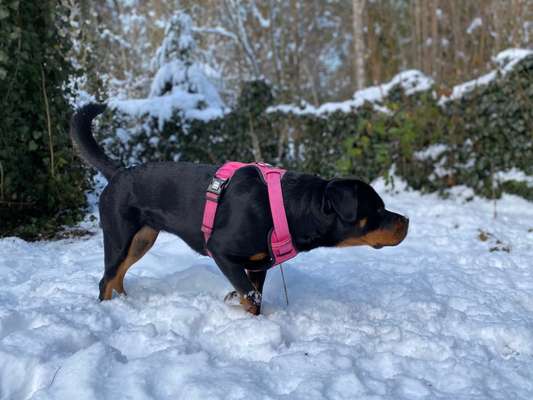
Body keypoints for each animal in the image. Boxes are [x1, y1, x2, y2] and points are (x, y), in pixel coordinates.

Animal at [70, 104, 410, 316]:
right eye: (378, 208)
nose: (406, 220)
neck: (284, 209)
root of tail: (118, 173)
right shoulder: (221, 251)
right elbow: (250, 297)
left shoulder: (258, 264)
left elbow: (254, 296)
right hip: (120, 237)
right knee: (106, 279)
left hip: (142, 238)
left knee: (118, 276)